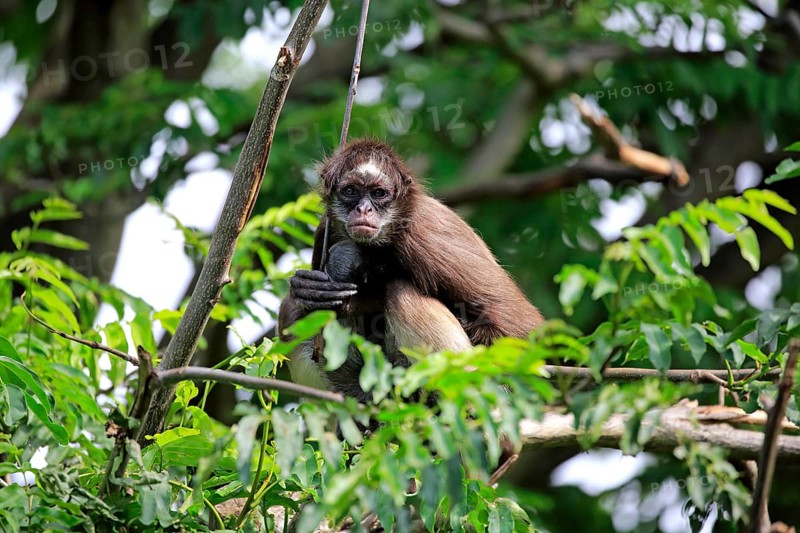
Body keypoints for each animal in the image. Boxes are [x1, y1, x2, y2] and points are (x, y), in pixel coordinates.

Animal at [278, 139, 544, 403]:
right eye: (351, 191)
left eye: (378, 193)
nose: (364, 210)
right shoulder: (326, 227)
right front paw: (308, 290)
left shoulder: (423, 233)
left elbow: (519, 331)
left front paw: (356, 294)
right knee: (289, 311)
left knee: (400, 290)